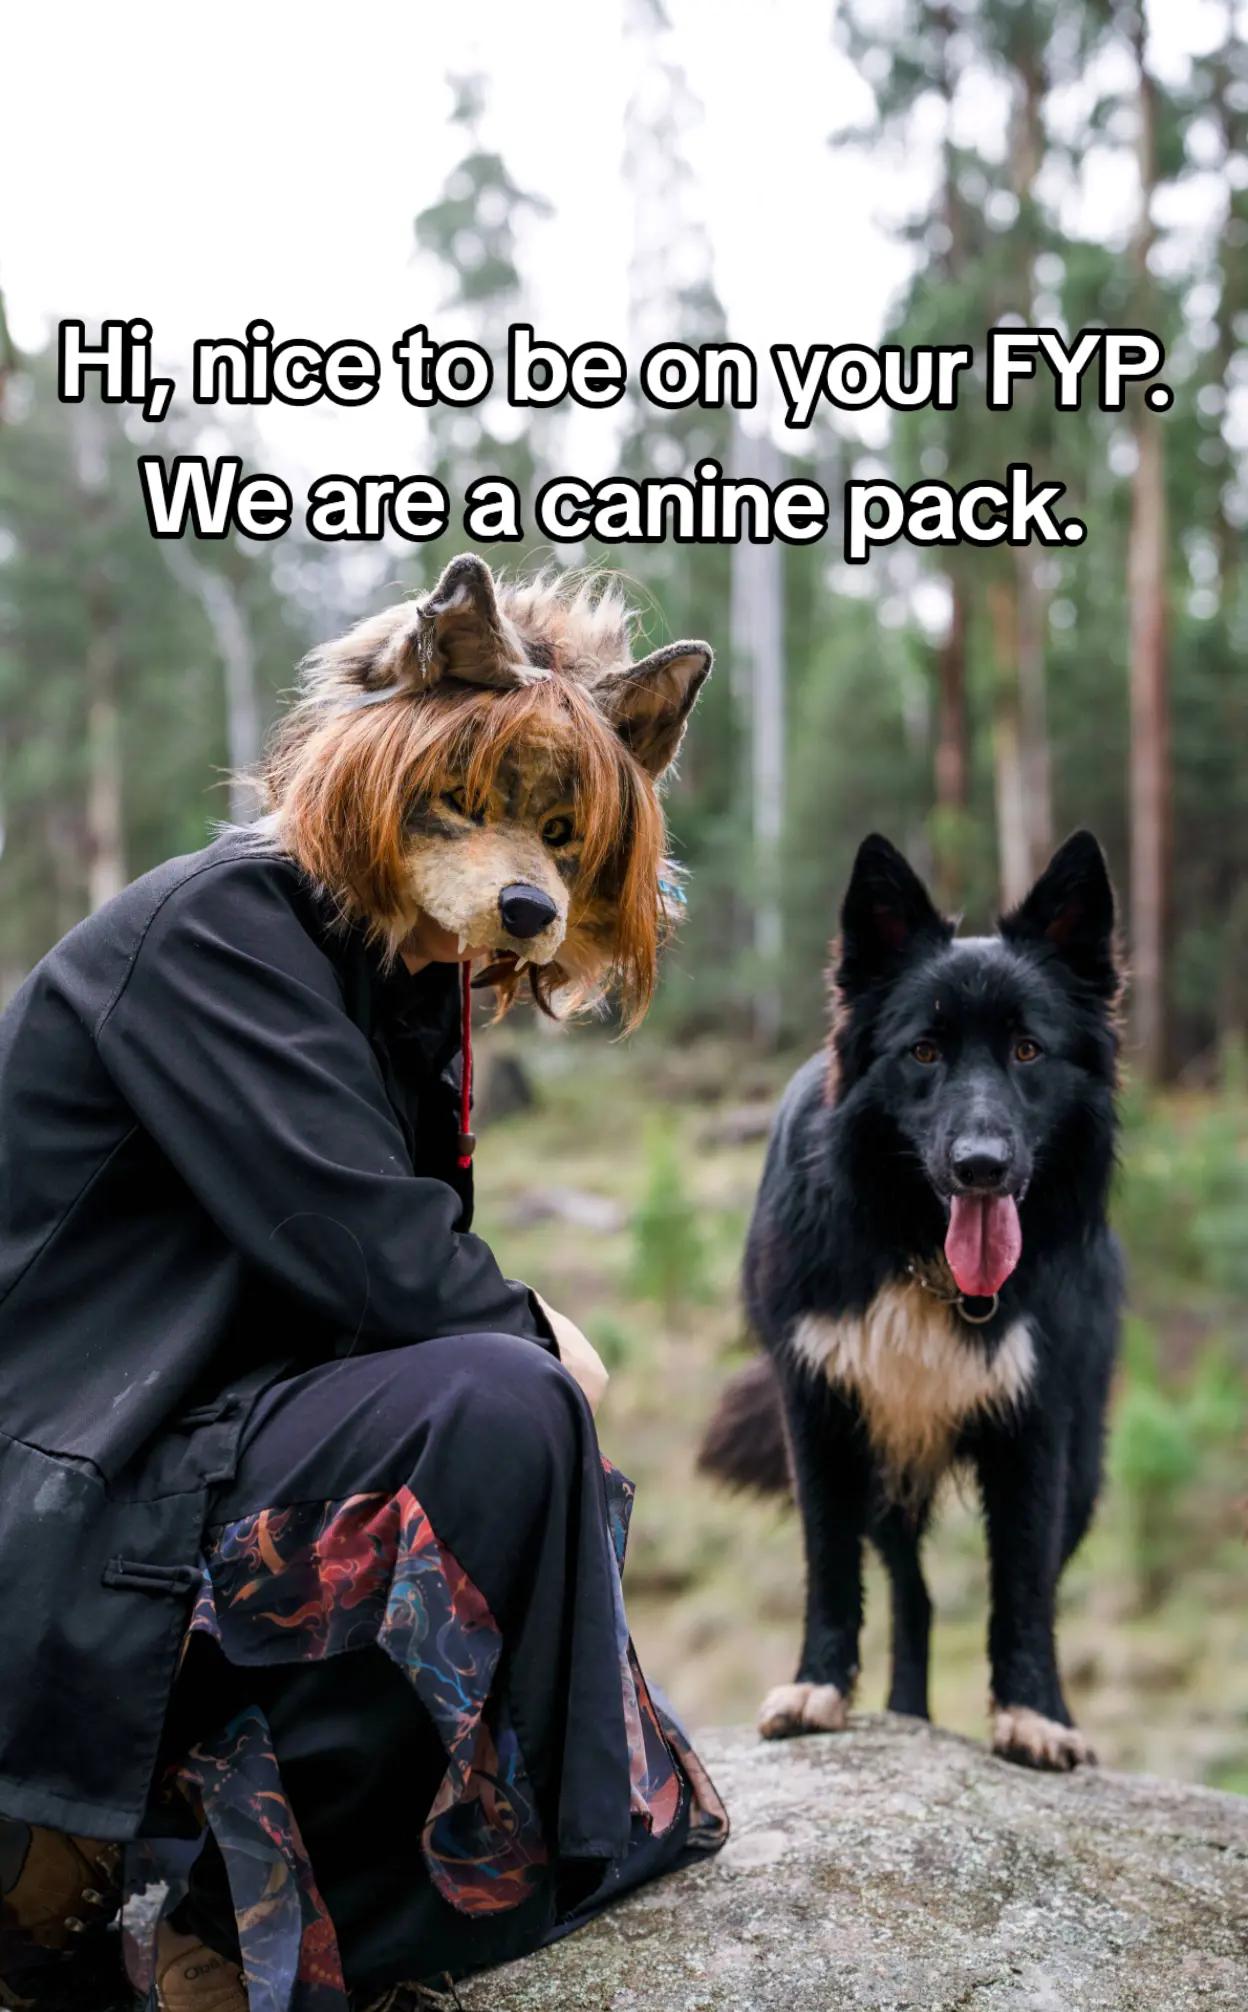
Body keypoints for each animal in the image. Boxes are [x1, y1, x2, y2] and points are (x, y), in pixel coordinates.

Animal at [700, 830, 1123, 1770]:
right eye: (924, 1052)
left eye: (1028, 1051)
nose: (981, 1168)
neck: (920, 1254)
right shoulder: (821, 1410)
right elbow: (829, 1564)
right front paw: (817, 1688)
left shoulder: (1038, 1421)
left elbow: (1023, 1584)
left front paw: (1032, 1714)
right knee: (913, 1593)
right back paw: (905, 1710)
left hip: (1081, 1463)